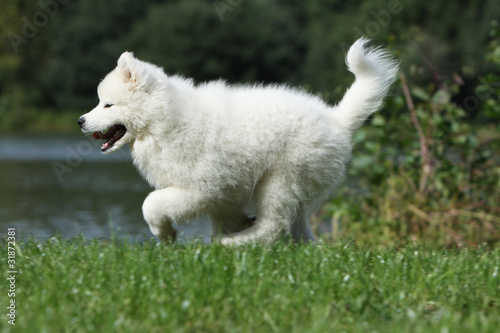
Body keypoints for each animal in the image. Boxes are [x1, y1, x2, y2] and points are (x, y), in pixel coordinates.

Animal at [78, 38, 398, 244]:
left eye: (107, 105)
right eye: (99, 102)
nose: (80, 121)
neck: (165, 119)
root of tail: (336, 121)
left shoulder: (200, 188)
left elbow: (151, 203)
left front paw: (165, 234)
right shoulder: (224, 195)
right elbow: (223, 217)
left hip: (280, 179)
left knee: (273, 226)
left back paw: (232, 244)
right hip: (296, 189)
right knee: (298, 232)